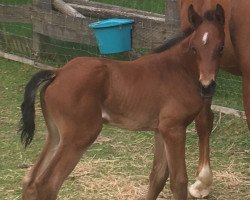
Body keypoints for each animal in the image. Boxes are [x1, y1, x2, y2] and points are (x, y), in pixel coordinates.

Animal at [20, 4, 225, 200]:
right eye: (194, 49)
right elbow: (178, 182)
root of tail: (58, 72)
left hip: (55, 134)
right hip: (79, 136)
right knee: (46, 185)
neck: (179, 70)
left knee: (29, 180)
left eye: (221, 47)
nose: (207, 86)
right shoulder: (174, 129)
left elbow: (157, 177)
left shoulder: (161, 130)